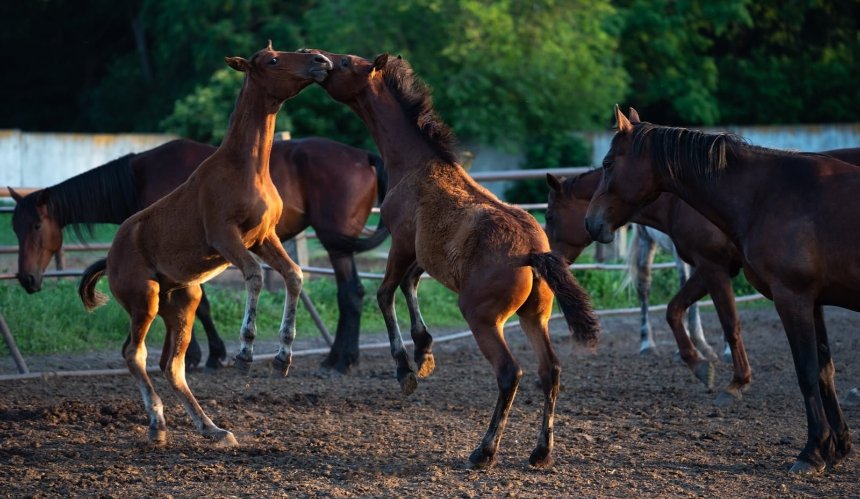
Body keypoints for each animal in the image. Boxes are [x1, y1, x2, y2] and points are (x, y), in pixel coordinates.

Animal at [9, 135, 386, 374]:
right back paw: (340, 359)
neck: (141, 178)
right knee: (352, 294)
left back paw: (339, 362)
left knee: (350, 294)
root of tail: (362, 155)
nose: (26, 279)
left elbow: (200, 305)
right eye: (13, 227)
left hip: (335, 244)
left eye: (36, 226)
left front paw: (203, 356)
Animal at [78, 45, 332, 448]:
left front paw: (283, 357)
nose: (321, 61)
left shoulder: (264, 238)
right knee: (134, 354)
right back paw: (157, 424)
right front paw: (245, 354)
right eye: (273, 60)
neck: (246, 168)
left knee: (171, 365)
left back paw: (212, 428)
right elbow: (255, 276)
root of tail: (110, 257)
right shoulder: (225, 237)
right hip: (145, 299)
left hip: (183, 301)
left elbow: (293, 276)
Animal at [308, 48, 596, 470]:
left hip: (482, 318)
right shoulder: (425, 254)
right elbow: (409, 285)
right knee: (550, 370)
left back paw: (484, 452)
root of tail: (534, 252)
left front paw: (406, 370)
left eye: (345, 62)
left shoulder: (401, 242)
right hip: (535, 316)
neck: (417, 165)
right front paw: (424, 352)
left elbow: (386, 293)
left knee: (510, 373)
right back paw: (541, 452)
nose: (317, 60)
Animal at [580, 104, 856, 472]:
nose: (591, 222)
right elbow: (825, 370)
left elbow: (806, 370)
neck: (767, 195)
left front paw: (812, 451)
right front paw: (837, 446)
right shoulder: (811, 300)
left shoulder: (789, 296)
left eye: (609, 162)